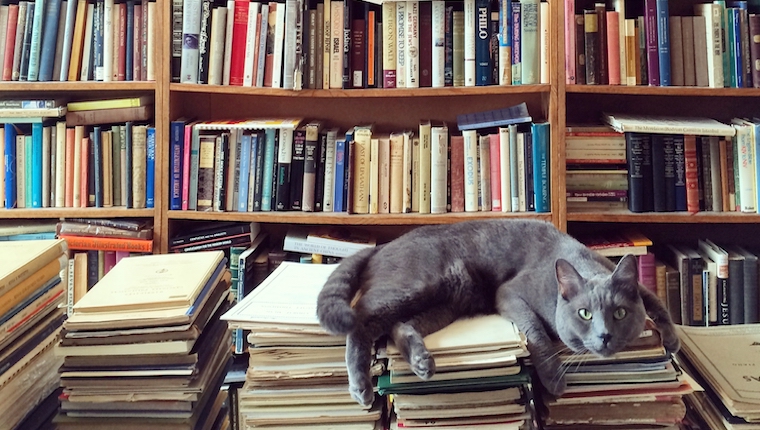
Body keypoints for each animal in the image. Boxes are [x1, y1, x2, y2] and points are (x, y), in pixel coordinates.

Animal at [312, 218, 680, 406]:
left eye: (619, 314)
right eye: (585, 314)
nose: (605, 336)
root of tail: (380, 247)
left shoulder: (638, 288)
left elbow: (658, 303)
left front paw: (673, 340)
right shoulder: (510, 294)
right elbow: (536, 332)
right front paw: (554, 379)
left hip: (445, 303)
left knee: (398, 327)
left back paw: (421, 362)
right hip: (414, 286)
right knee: (361, 323)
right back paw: (361, 388)